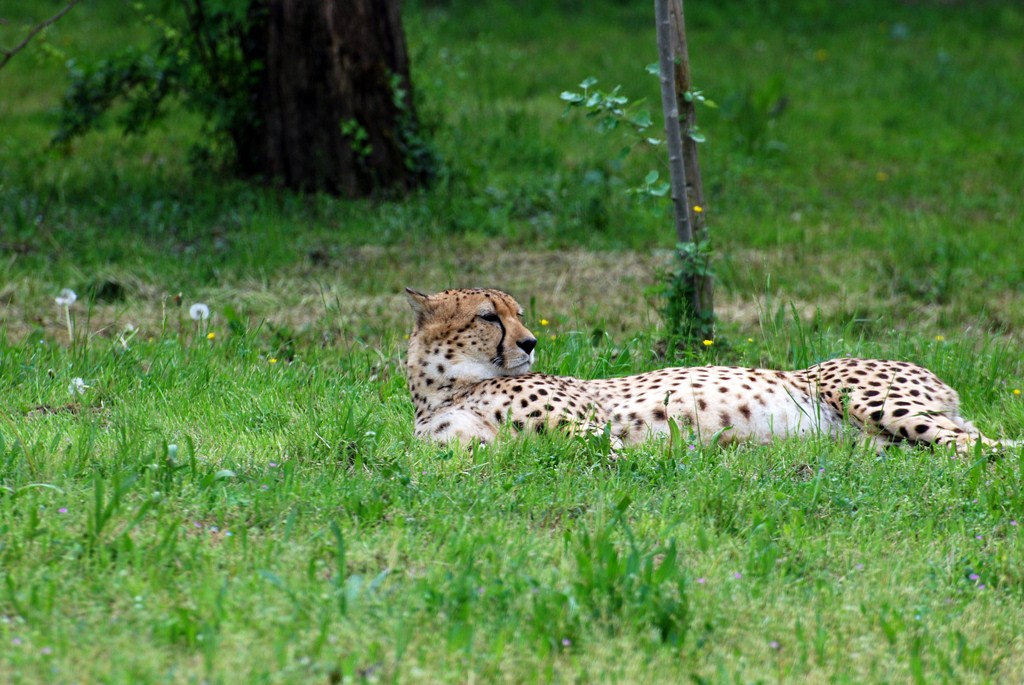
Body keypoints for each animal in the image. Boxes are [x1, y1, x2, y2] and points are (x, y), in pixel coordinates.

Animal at [405, 287, 1016, 454]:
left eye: (518, 314)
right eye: (490, 316)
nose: (531, 343)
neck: (446, 389)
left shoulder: (591, 431)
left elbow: (610, 455)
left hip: (870, 399)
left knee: (987, 445)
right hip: (875, 439)